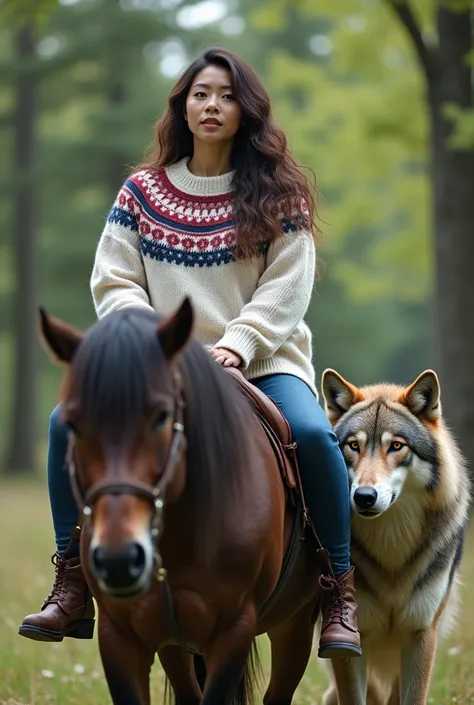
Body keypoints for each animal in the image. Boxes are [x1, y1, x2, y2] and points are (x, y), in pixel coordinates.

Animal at [38, 300, 348, 704]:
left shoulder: (233, 631)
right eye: (73, 424)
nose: (119, 560)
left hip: (292, 625)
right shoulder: (119, 635)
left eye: (162, 417)